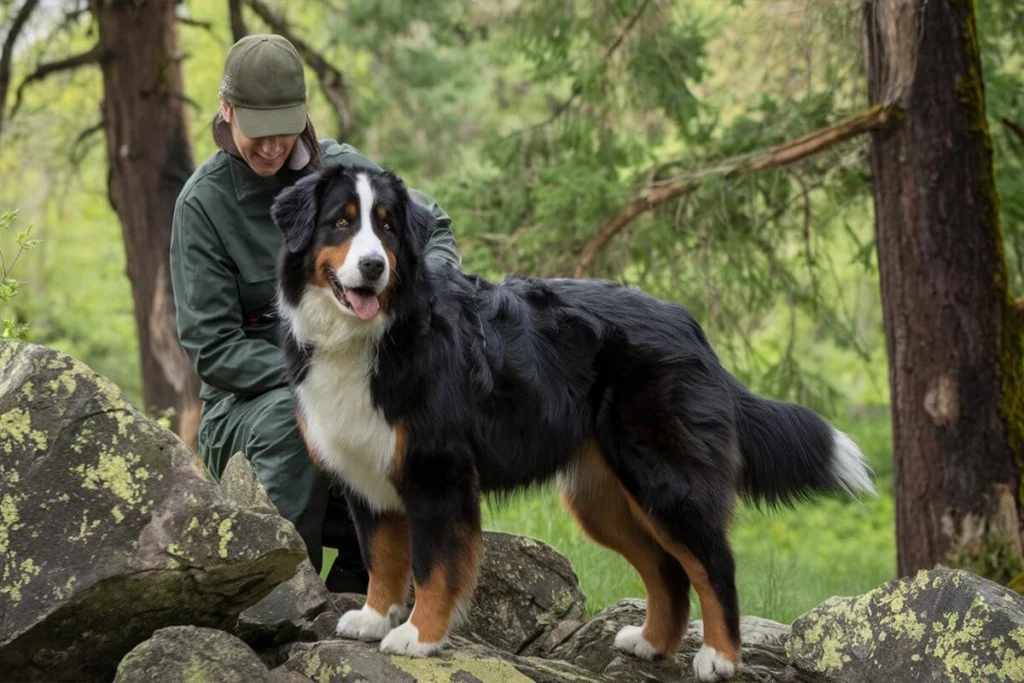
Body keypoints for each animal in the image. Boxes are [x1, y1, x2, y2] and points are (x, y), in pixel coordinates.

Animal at [272, 163, 872, 679]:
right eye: (342, 221)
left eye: (388, 227)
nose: (374, 266)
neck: (376, 336)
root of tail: (686, 323)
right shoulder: (366, 472)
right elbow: (383, 557)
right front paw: (374, 618)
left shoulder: (437, 474)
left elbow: (434, 567)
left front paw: (419, 637)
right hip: (601, 498)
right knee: (667, 570)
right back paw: (651, 643)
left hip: (666, 480)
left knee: (712, 564)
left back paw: (720, 658)